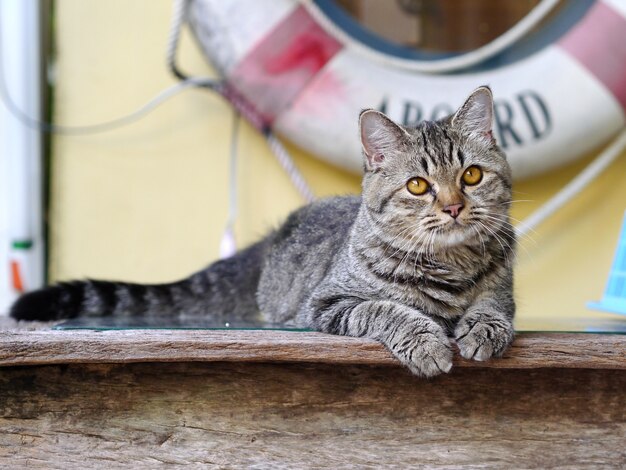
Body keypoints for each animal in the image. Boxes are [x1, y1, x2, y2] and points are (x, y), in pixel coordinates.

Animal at [12, 86, 516, 376]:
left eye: (471, 176)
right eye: (417, 185)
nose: (453, 207)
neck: (448, 265)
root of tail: (272, 237)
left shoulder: (504, 291)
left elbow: (493, 308)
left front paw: (482, 331)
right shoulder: (328, 304)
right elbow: (388, 310)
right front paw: (427, 344)